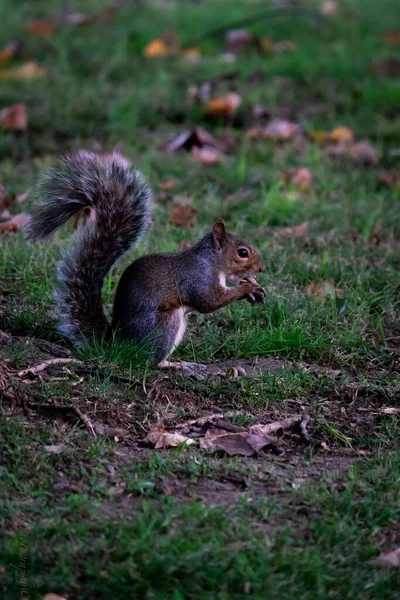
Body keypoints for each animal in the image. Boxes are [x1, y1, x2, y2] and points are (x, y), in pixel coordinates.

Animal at [27, 151, 266, 370]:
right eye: (242, 253)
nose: (261, 268)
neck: (211, 261)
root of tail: (118, 343)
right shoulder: (198, 277)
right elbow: (209, 301)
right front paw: (245, 289)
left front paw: (252, 288)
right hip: (166, 323)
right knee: (151, 362)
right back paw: (179, 366)